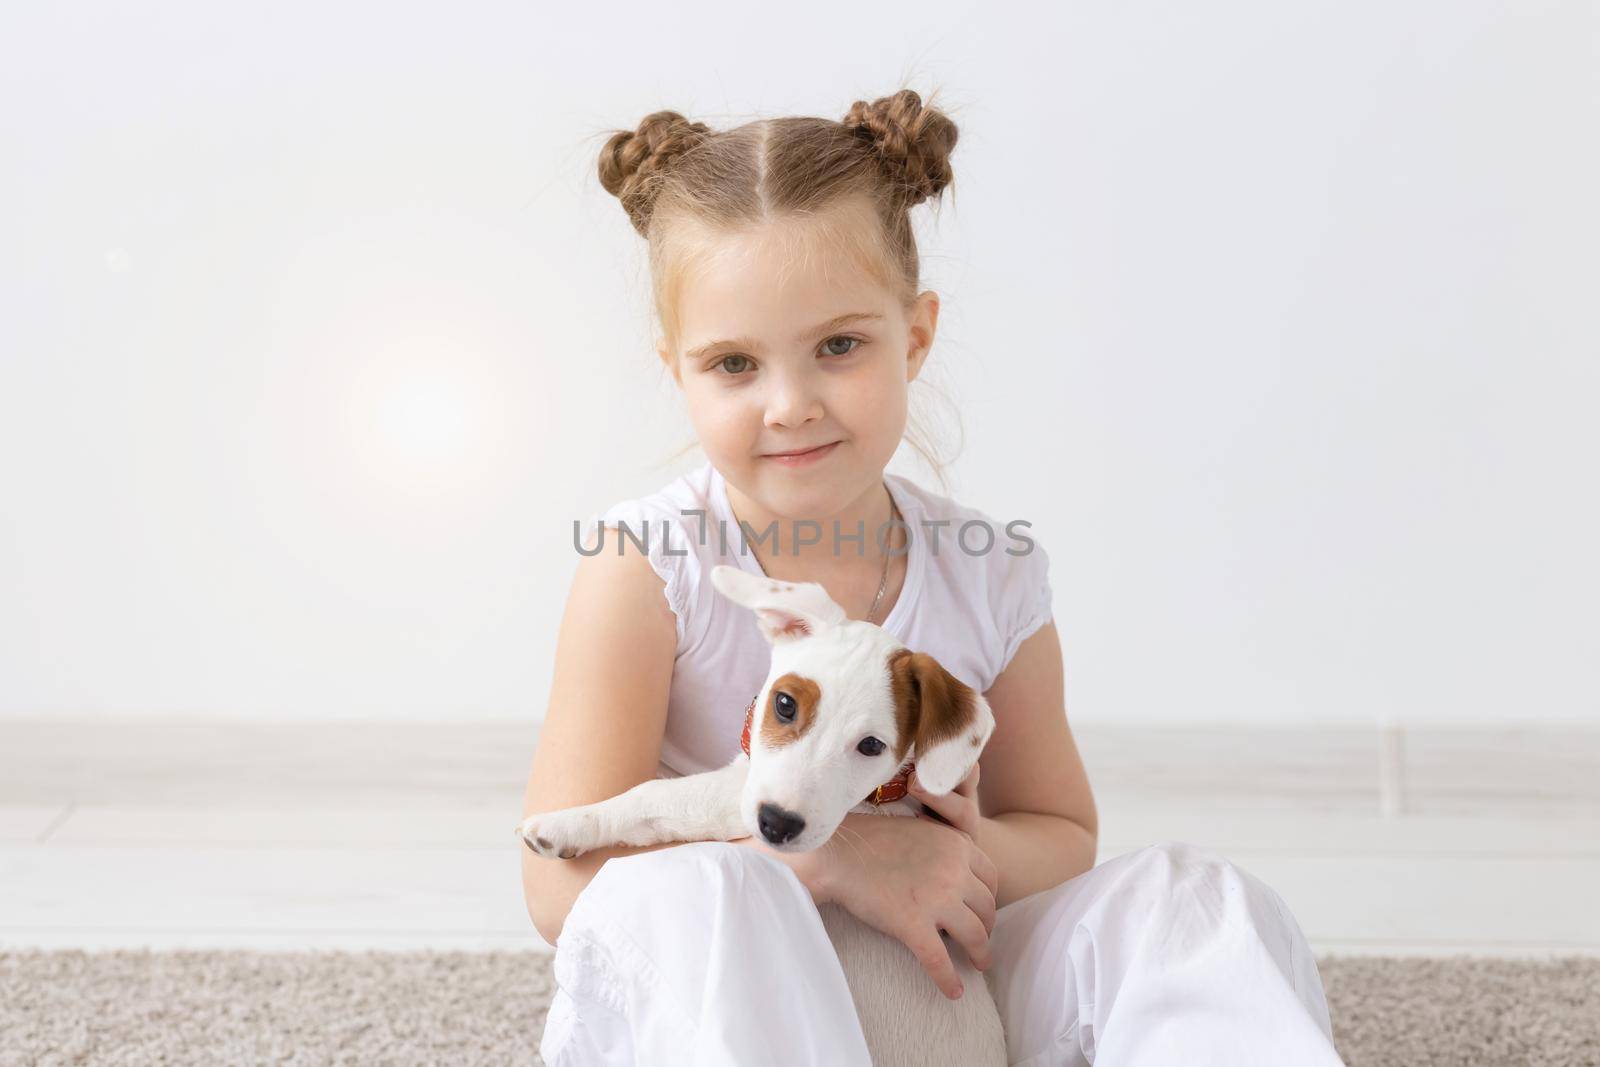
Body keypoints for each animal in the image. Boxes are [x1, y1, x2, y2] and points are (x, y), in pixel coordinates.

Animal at [518, 563, 1004, 1062]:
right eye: (785, 704)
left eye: (871, 746)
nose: (777, 824)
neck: (881, 796)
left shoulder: (729, 797)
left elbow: (649, 795)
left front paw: (568, 824)